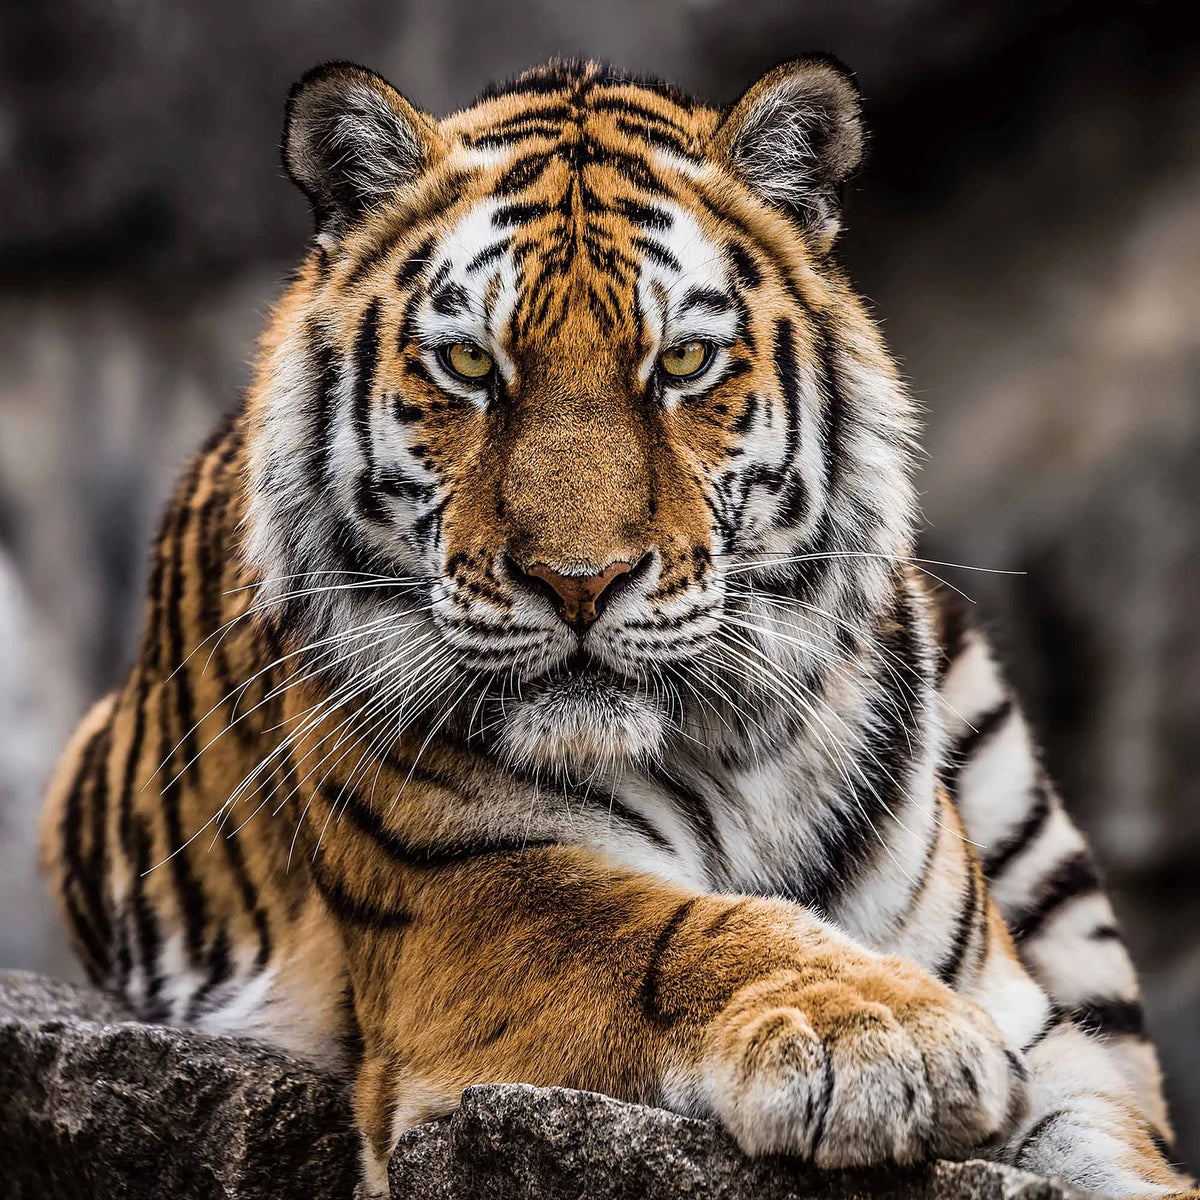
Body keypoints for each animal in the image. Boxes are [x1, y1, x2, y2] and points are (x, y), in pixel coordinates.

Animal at [40, 56, 1192, 1199]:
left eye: (681, 364)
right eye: (471, 367)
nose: (578, 582)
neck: (732, 758)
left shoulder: (1044, 1033)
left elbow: (1122, 1151)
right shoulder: (465, 898)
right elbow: (673, 931)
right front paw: (884, 1033)